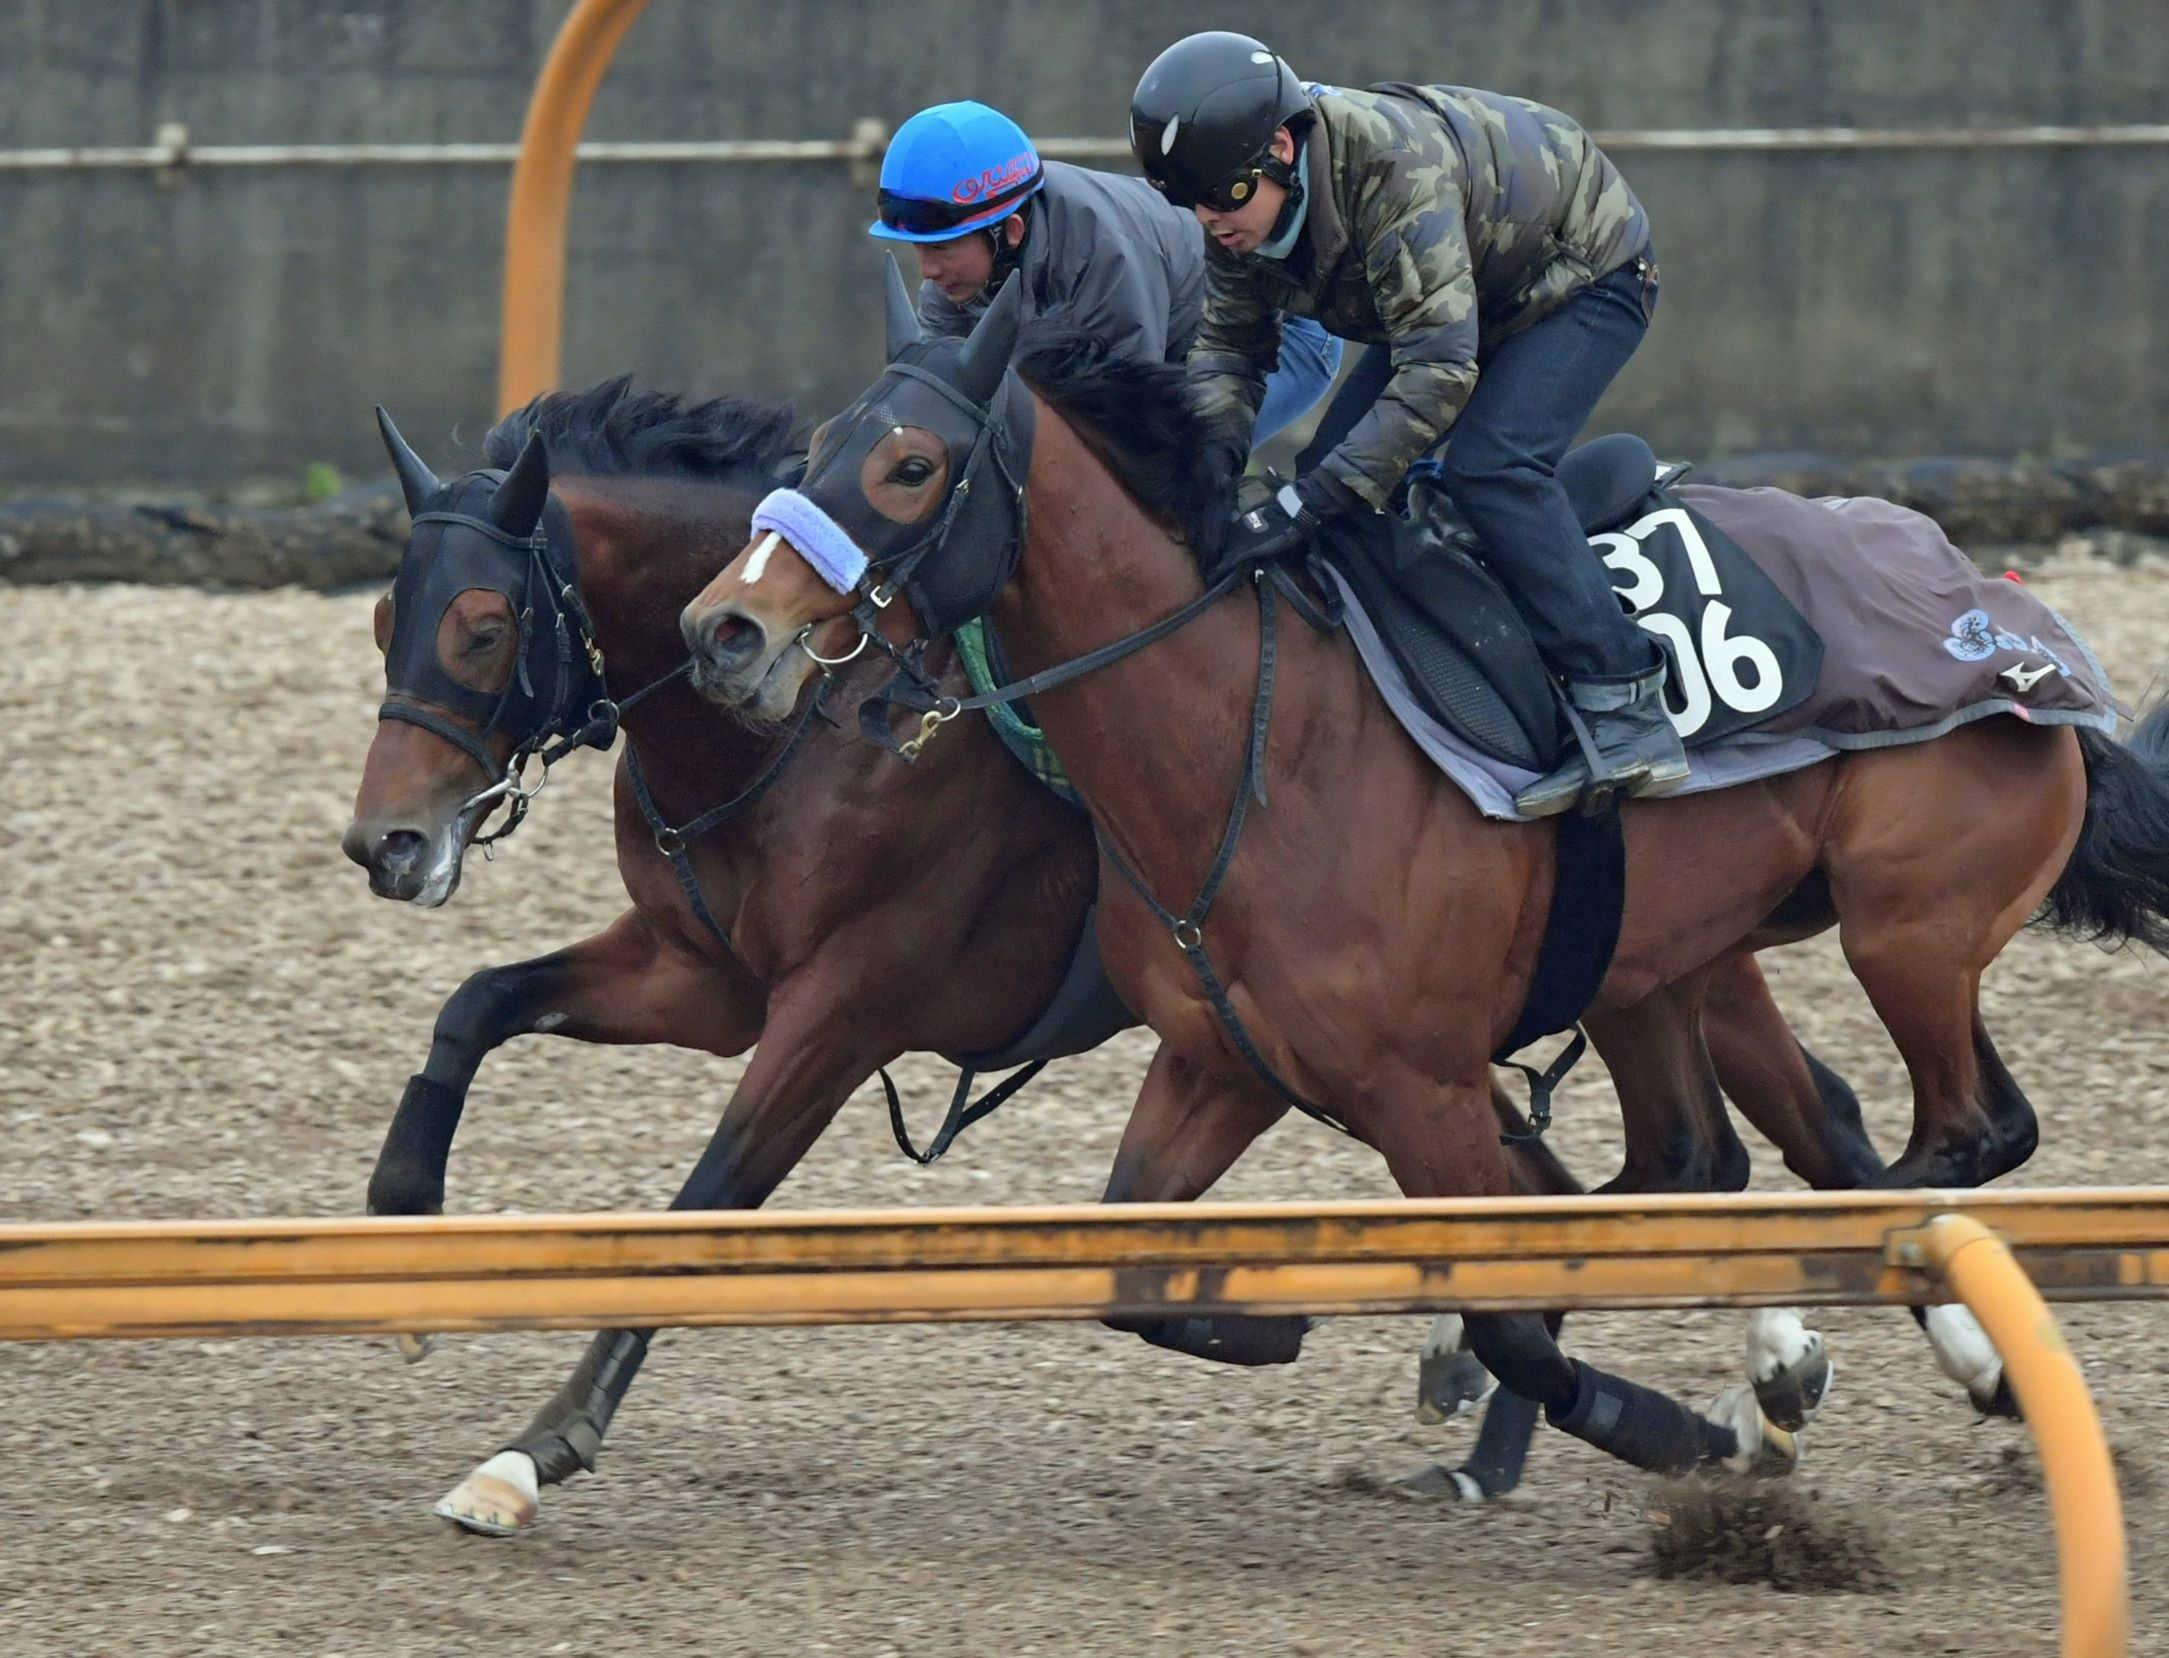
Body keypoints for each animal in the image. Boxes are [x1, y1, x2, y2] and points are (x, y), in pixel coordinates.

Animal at [681, 277, 2169, 1484]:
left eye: (910, 463)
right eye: (815, 447)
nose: (723, 628)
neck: (1259, 742)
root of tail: (2014, 625)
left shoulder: (1424, 1089)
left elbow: (1518, 1312)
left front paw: (1686, 1425)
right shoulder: (1227, 1060)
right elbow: (1136, 1276)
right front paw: (1281, 1323)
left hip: (1904, 920)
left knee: (1961, 1134)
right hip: (1659, 959)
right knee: (1706, 1152)